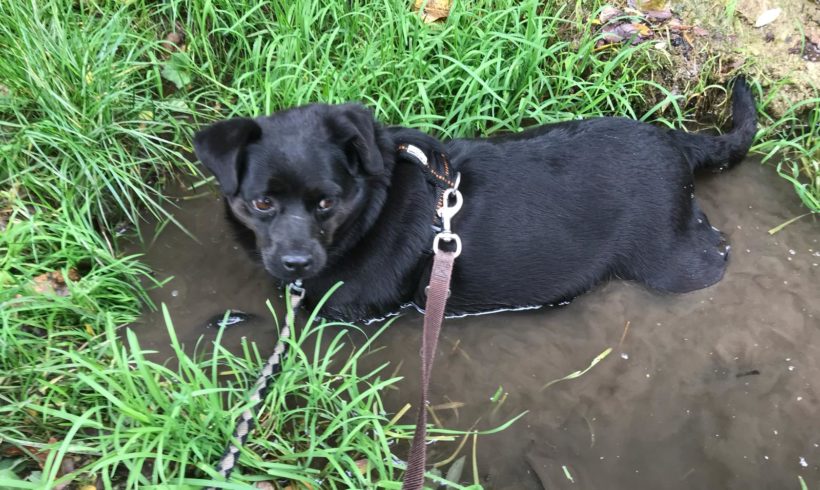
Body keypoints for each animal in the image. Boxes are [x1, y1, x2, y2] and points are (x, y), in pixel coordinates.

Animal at [193, 78, 756, 322]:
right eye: (262, 204)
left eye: (326, 203)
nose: (296, 261)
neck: (369, 209)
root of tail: (676, 141)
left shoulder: (346, 313)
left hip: (673, 262)